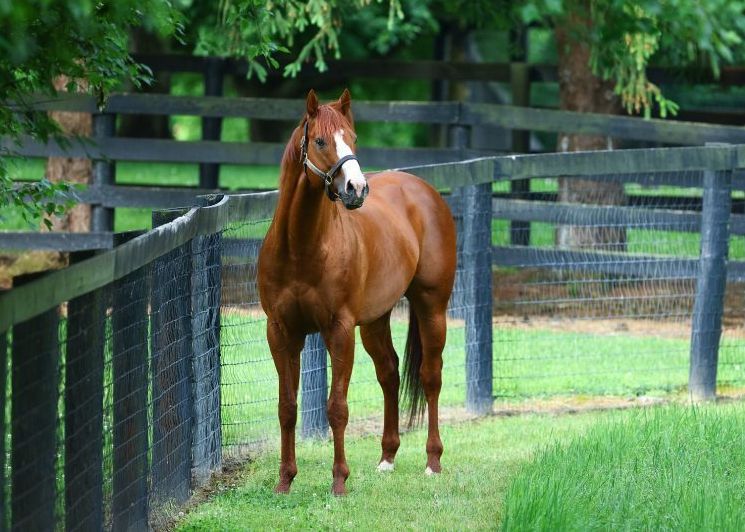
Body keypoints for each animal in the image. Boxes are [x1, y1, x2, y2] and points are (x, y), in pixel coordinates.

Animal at [257, 89, 456, 496]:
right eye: (320, 141)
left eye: (353, 138)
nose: (357, 189)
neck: (300, 247)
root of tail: (424, 191)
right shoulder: (281, 332)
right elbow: (287, 408)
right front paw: (285, 481)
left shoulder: (339, 330)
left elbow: (337, 407)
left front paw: (339, 482)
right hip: (376, 320)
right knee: (390, 373)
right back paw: (387, 457)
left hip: (431, 308)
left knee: (430, 376)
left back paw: (432, 461)